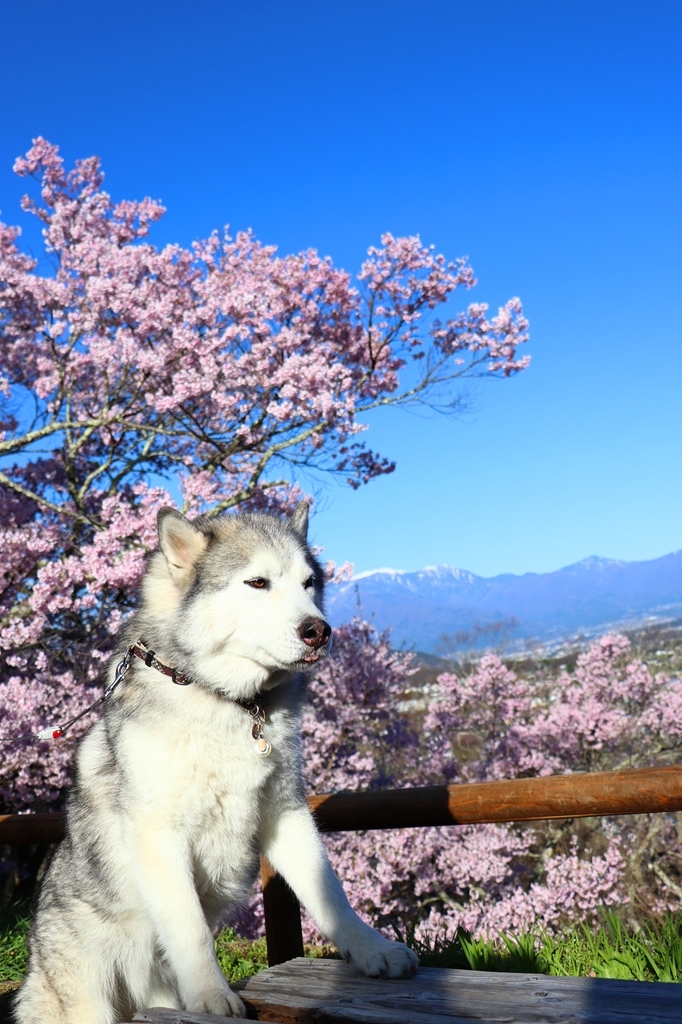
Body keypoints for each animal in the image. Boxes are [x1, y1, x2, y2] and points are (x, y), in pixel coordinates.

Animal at [15, 505, 417, 1024]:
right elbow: (190, 928)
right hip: (89, 994)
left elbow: (331, 895)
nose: (319, 630)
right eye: (258, 582)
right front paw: (210, 993)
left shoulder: (286, 813)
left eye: (309, 583)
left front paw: (372, 950)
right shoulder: (160, 834)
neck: (228, 703)